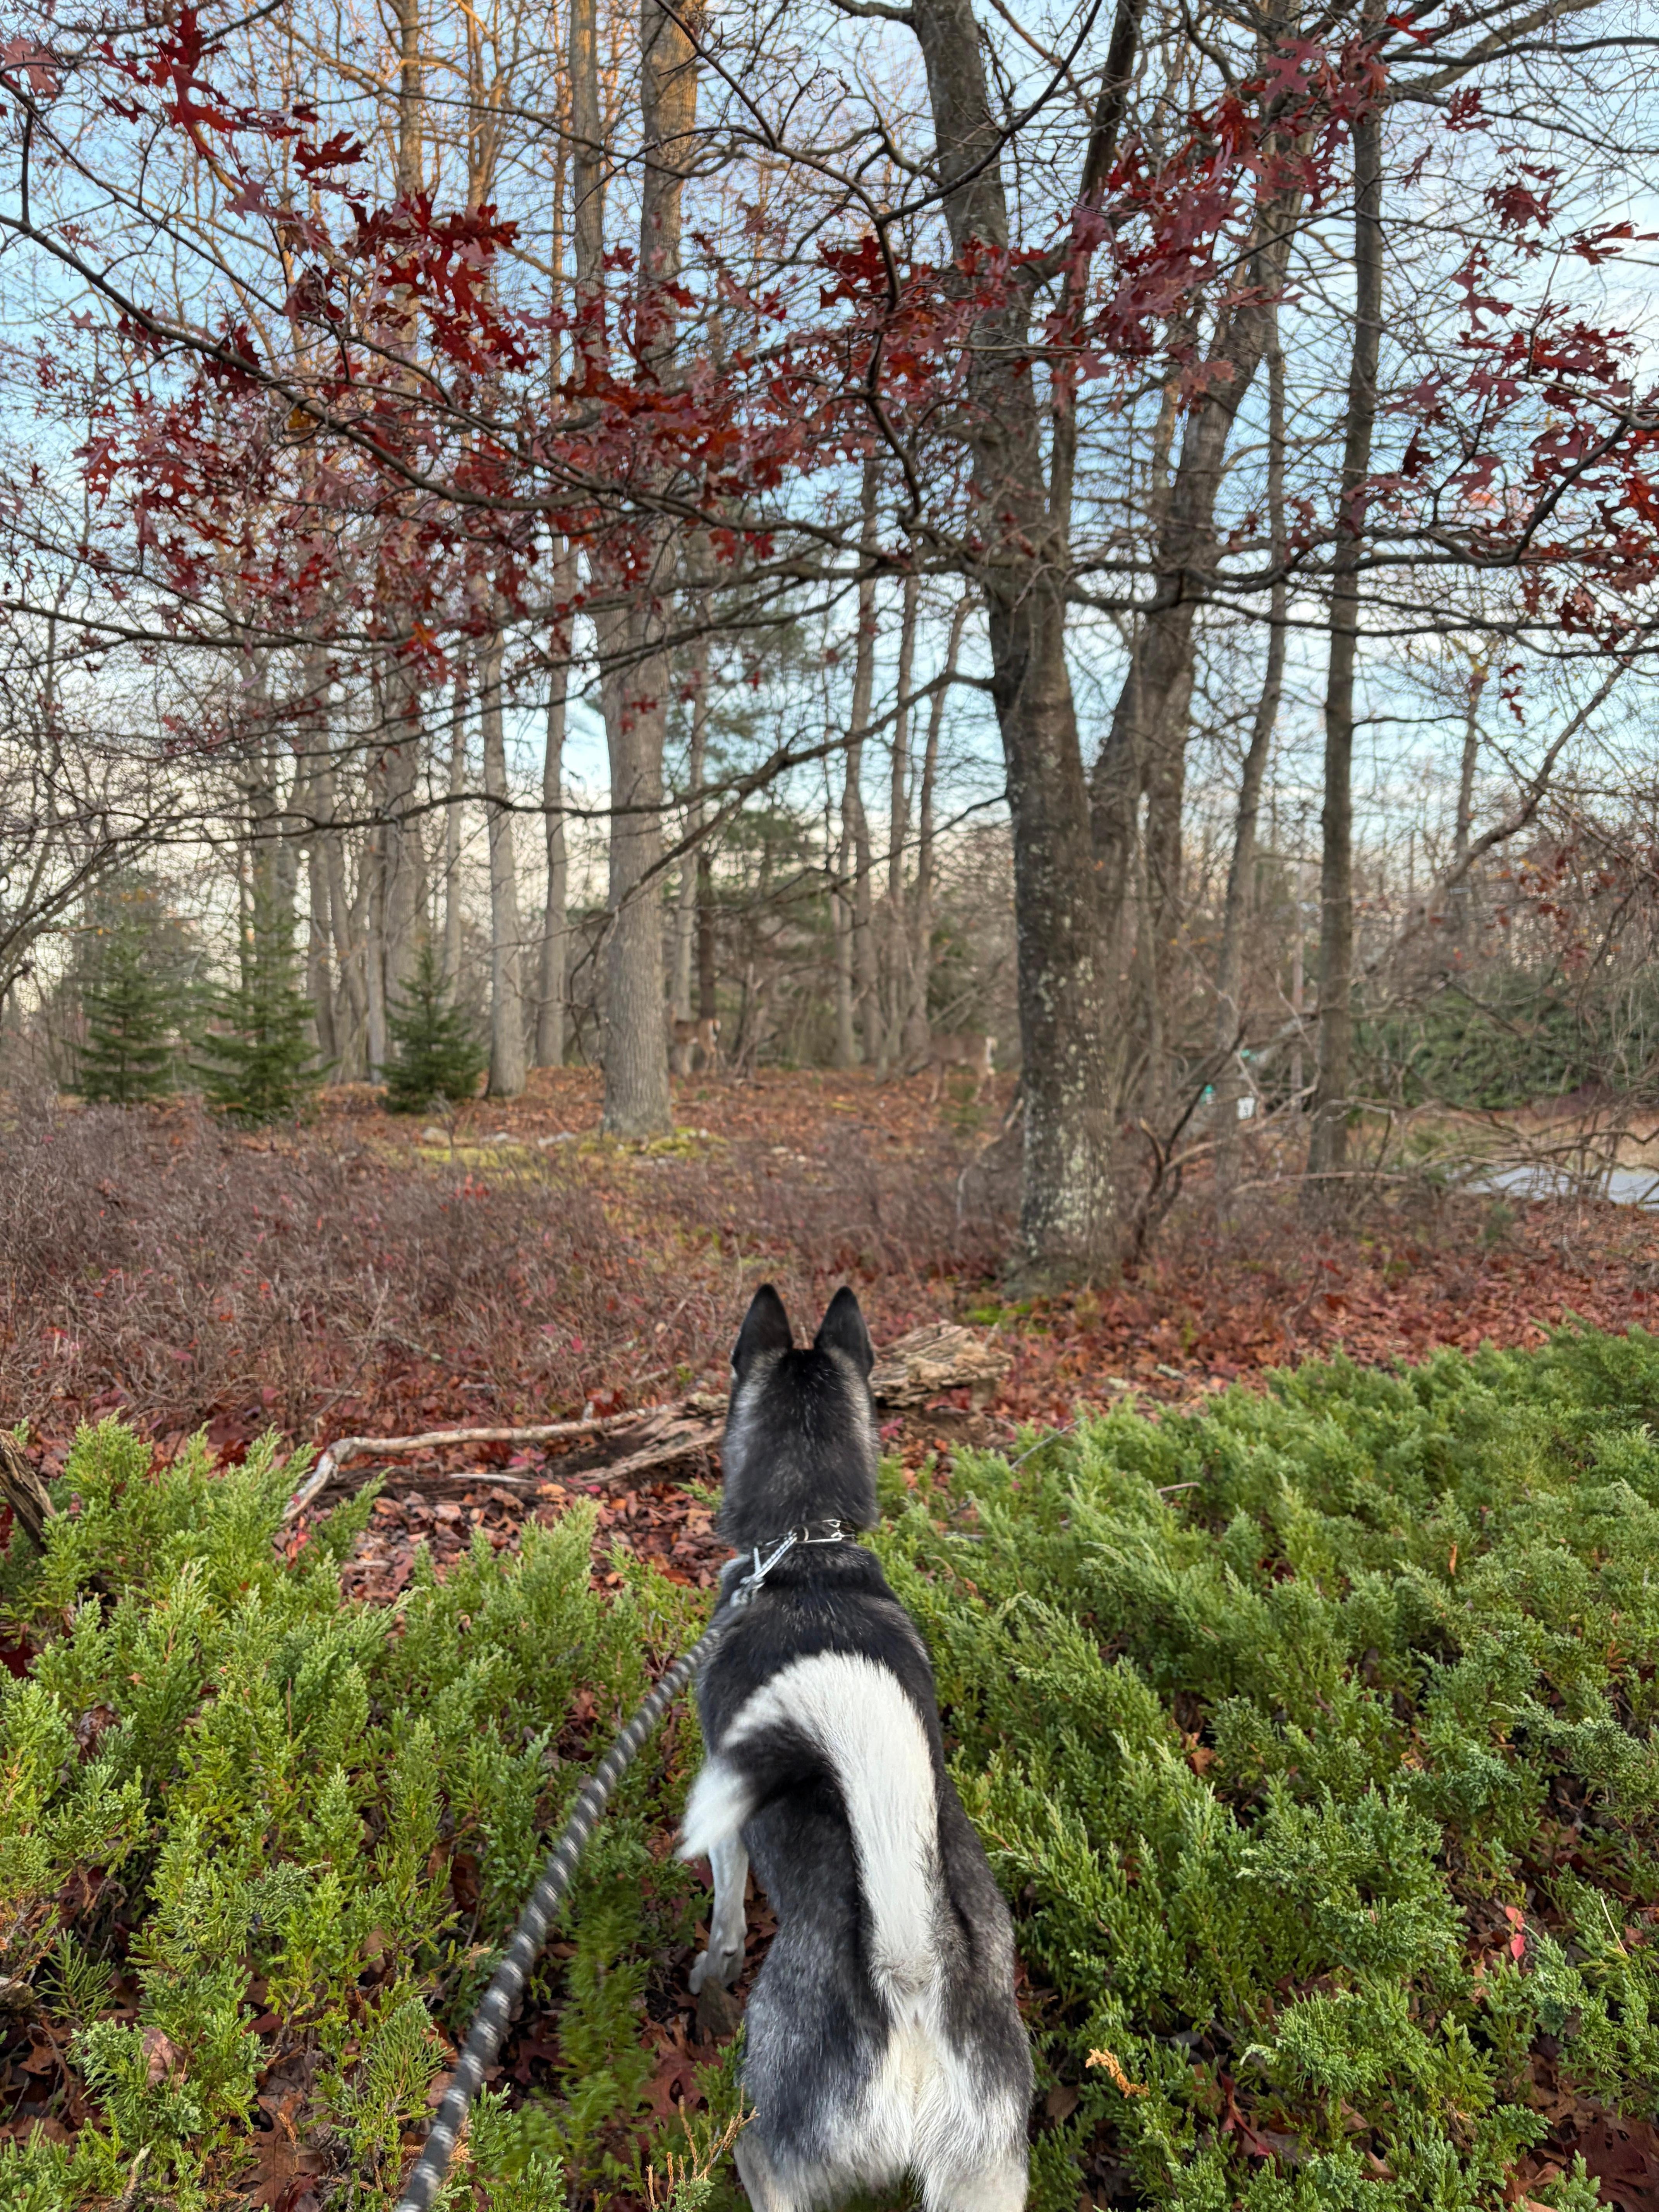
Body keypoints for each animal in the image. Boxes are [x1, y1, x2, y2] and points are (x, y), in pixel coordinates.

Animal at [927, 1031, 996, 1103]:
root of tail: (988, 1040)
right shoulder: (946, 1063)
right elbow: (945, 1077)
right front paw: (945, 1095)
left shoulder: (937, 1060)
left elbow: (937, 1079)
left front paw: (932, 1098)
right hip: (986, 1061)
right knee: (992, 1072)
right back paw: (991, 1098)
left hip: (977, 1060)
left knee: (983, 1075)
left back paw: (974, 1099)